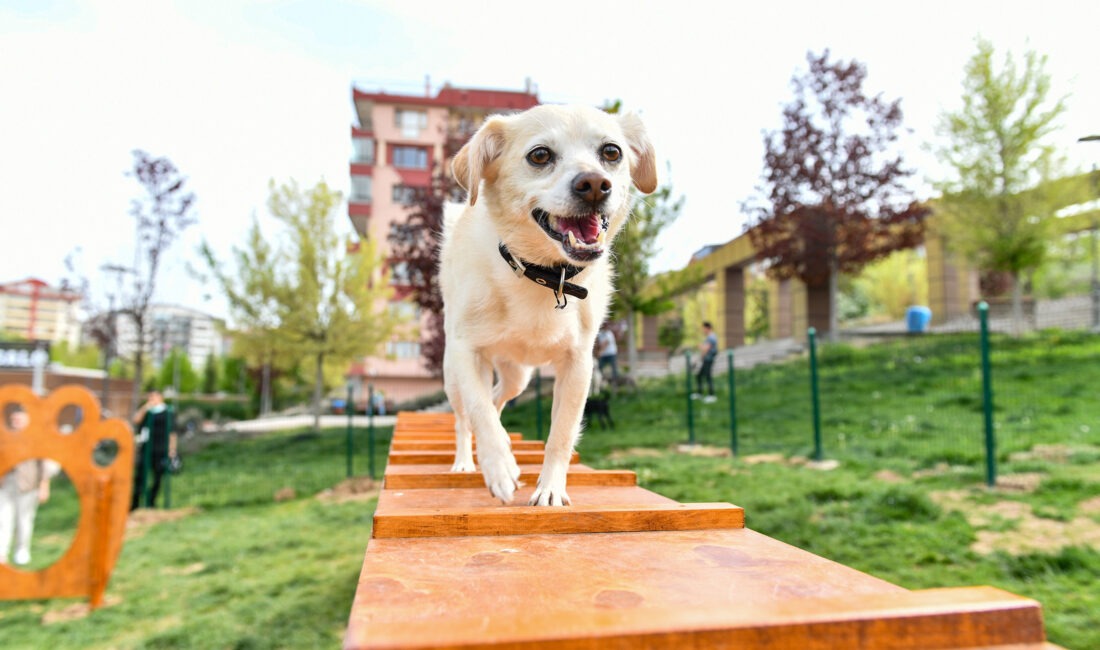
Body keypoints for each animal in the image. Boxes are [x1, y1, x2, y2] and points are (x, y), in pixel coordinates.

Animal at [440, 105, 660, 508]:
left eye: (611, 152)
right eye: (540, 155)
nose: (595, 184)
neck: (543, 275)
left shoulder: (578, 364)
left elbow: (561, 432)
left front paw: (551, 489)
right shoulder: (467, 353)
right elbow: (479, 413)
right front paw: (498, 468)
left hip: (518, 376)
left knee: (497, 398)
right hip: (454, 373)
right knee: (467, 417)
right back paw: (467, 461)